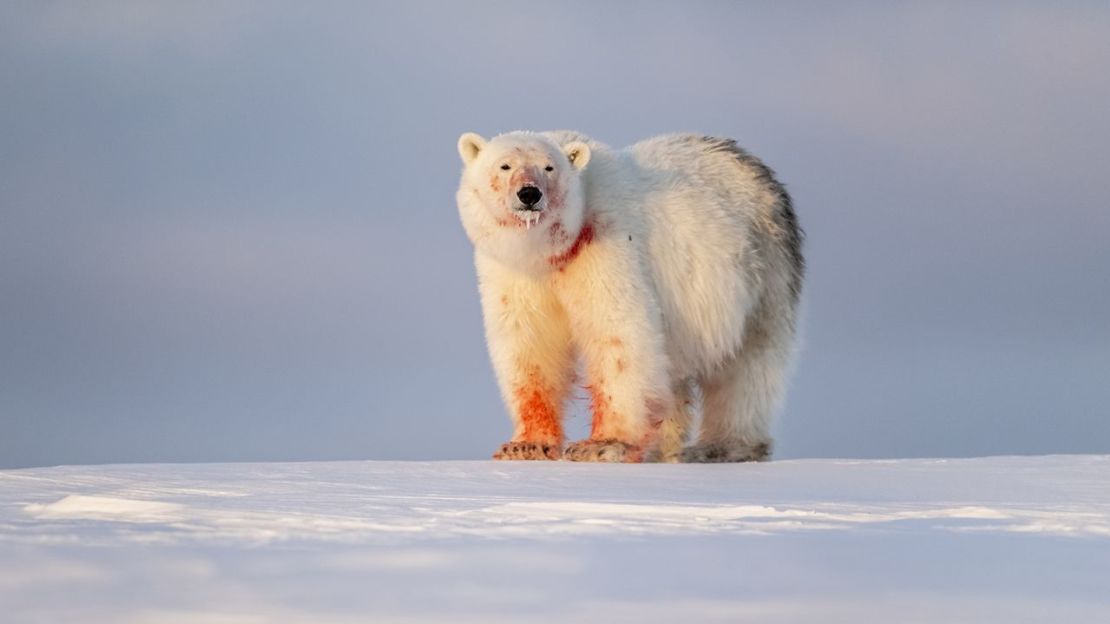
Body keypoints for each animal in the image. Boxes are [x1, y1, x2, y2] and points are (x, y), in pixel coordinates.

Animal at [455, 131, 803, 461]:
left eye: (549, 167)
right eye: (505, 165)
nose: (529, 194)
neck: (551, 252)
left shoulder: (605, 243)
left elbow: (619, 336)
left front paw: (602, 445)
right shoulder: (515, 272)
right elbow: (529, 342)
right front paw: (525, 445)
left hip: (762, 272)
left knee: (747, 367)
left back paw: (722, 446)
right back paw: (662, 447)